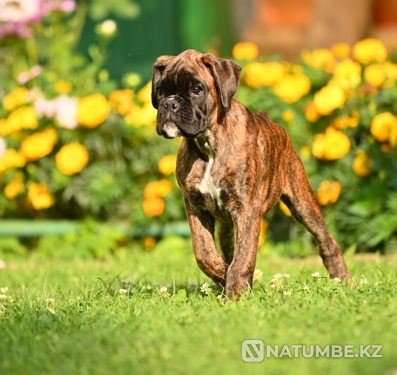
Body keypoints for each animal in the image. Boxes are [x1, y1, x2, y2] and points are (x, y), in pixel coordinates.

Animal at [151, 50, 350, 302]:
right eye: (160, 90)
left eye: (197, 89)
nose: (170, 103)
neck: (208, 145)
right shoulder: (195, 205)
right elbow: (204, 252)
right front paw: (222, 275)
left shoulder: (247, 209)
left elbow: (243, 258)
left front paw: (235, 290)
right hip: (227, 225)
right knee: (228, 248)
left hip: (303, 204)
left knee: (327, 242)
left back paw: (343, 279)